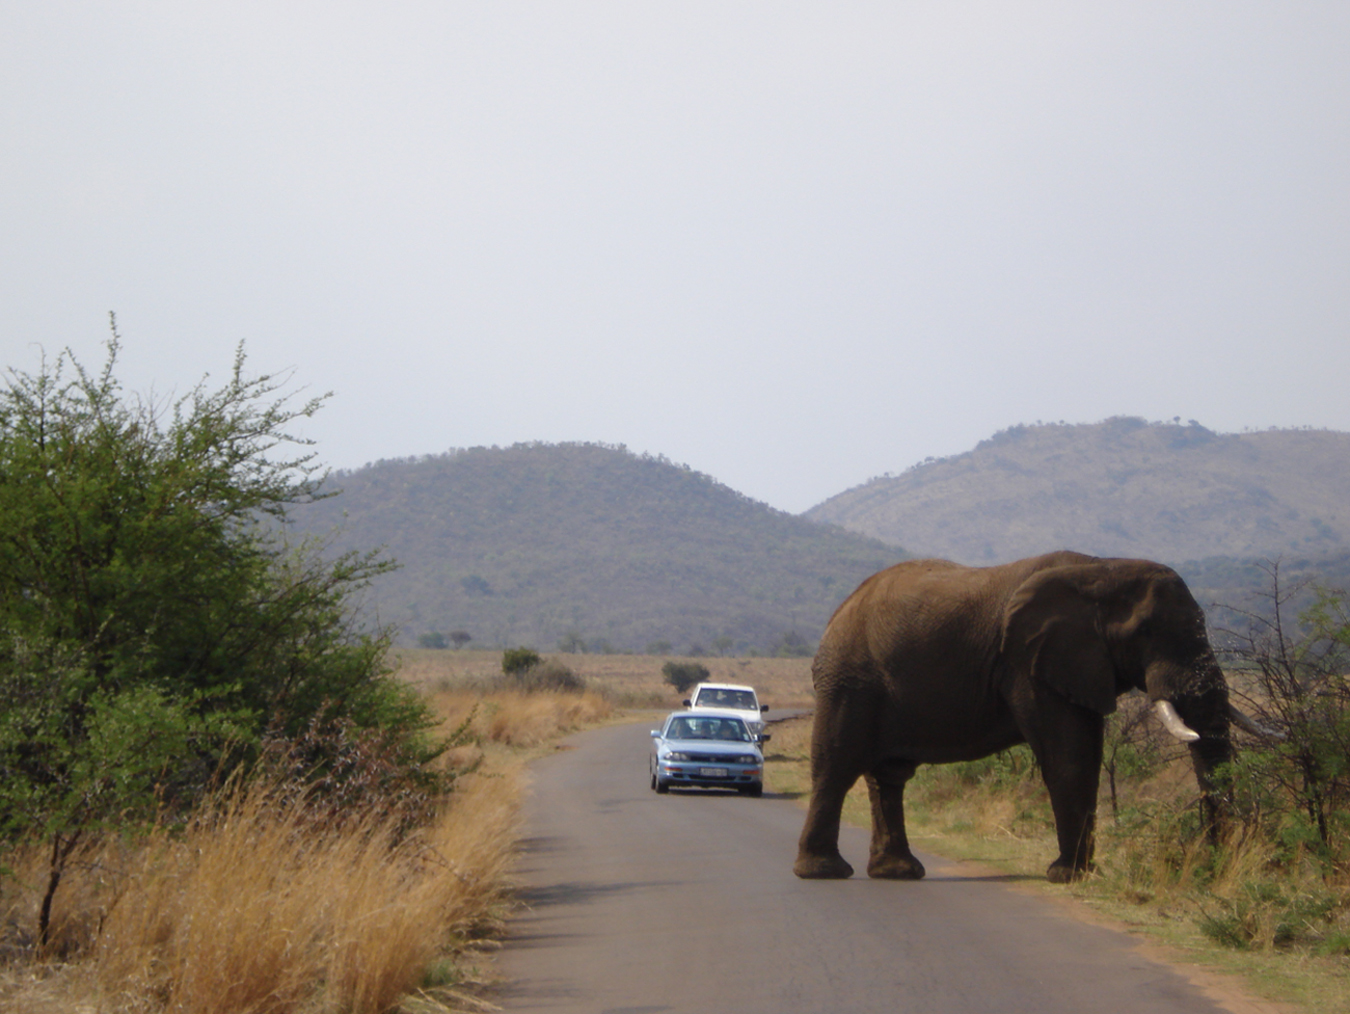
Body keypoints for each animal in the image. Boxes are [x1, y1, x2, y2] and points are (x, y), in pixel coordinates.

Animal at [793, 550, 1236, 885]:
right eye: (1145, 631)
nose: (1212, 868)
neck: (1101, 567)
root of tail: (840, 611)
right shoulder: (1027, 663)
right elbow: (1069, 756)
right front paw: (1069, 876)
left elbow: (1086, 754)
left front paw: (1080, 874)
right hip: (850, 680)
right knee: (836, 765)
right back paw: (824, 872)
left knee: (889, 777)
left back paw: (896, 872)